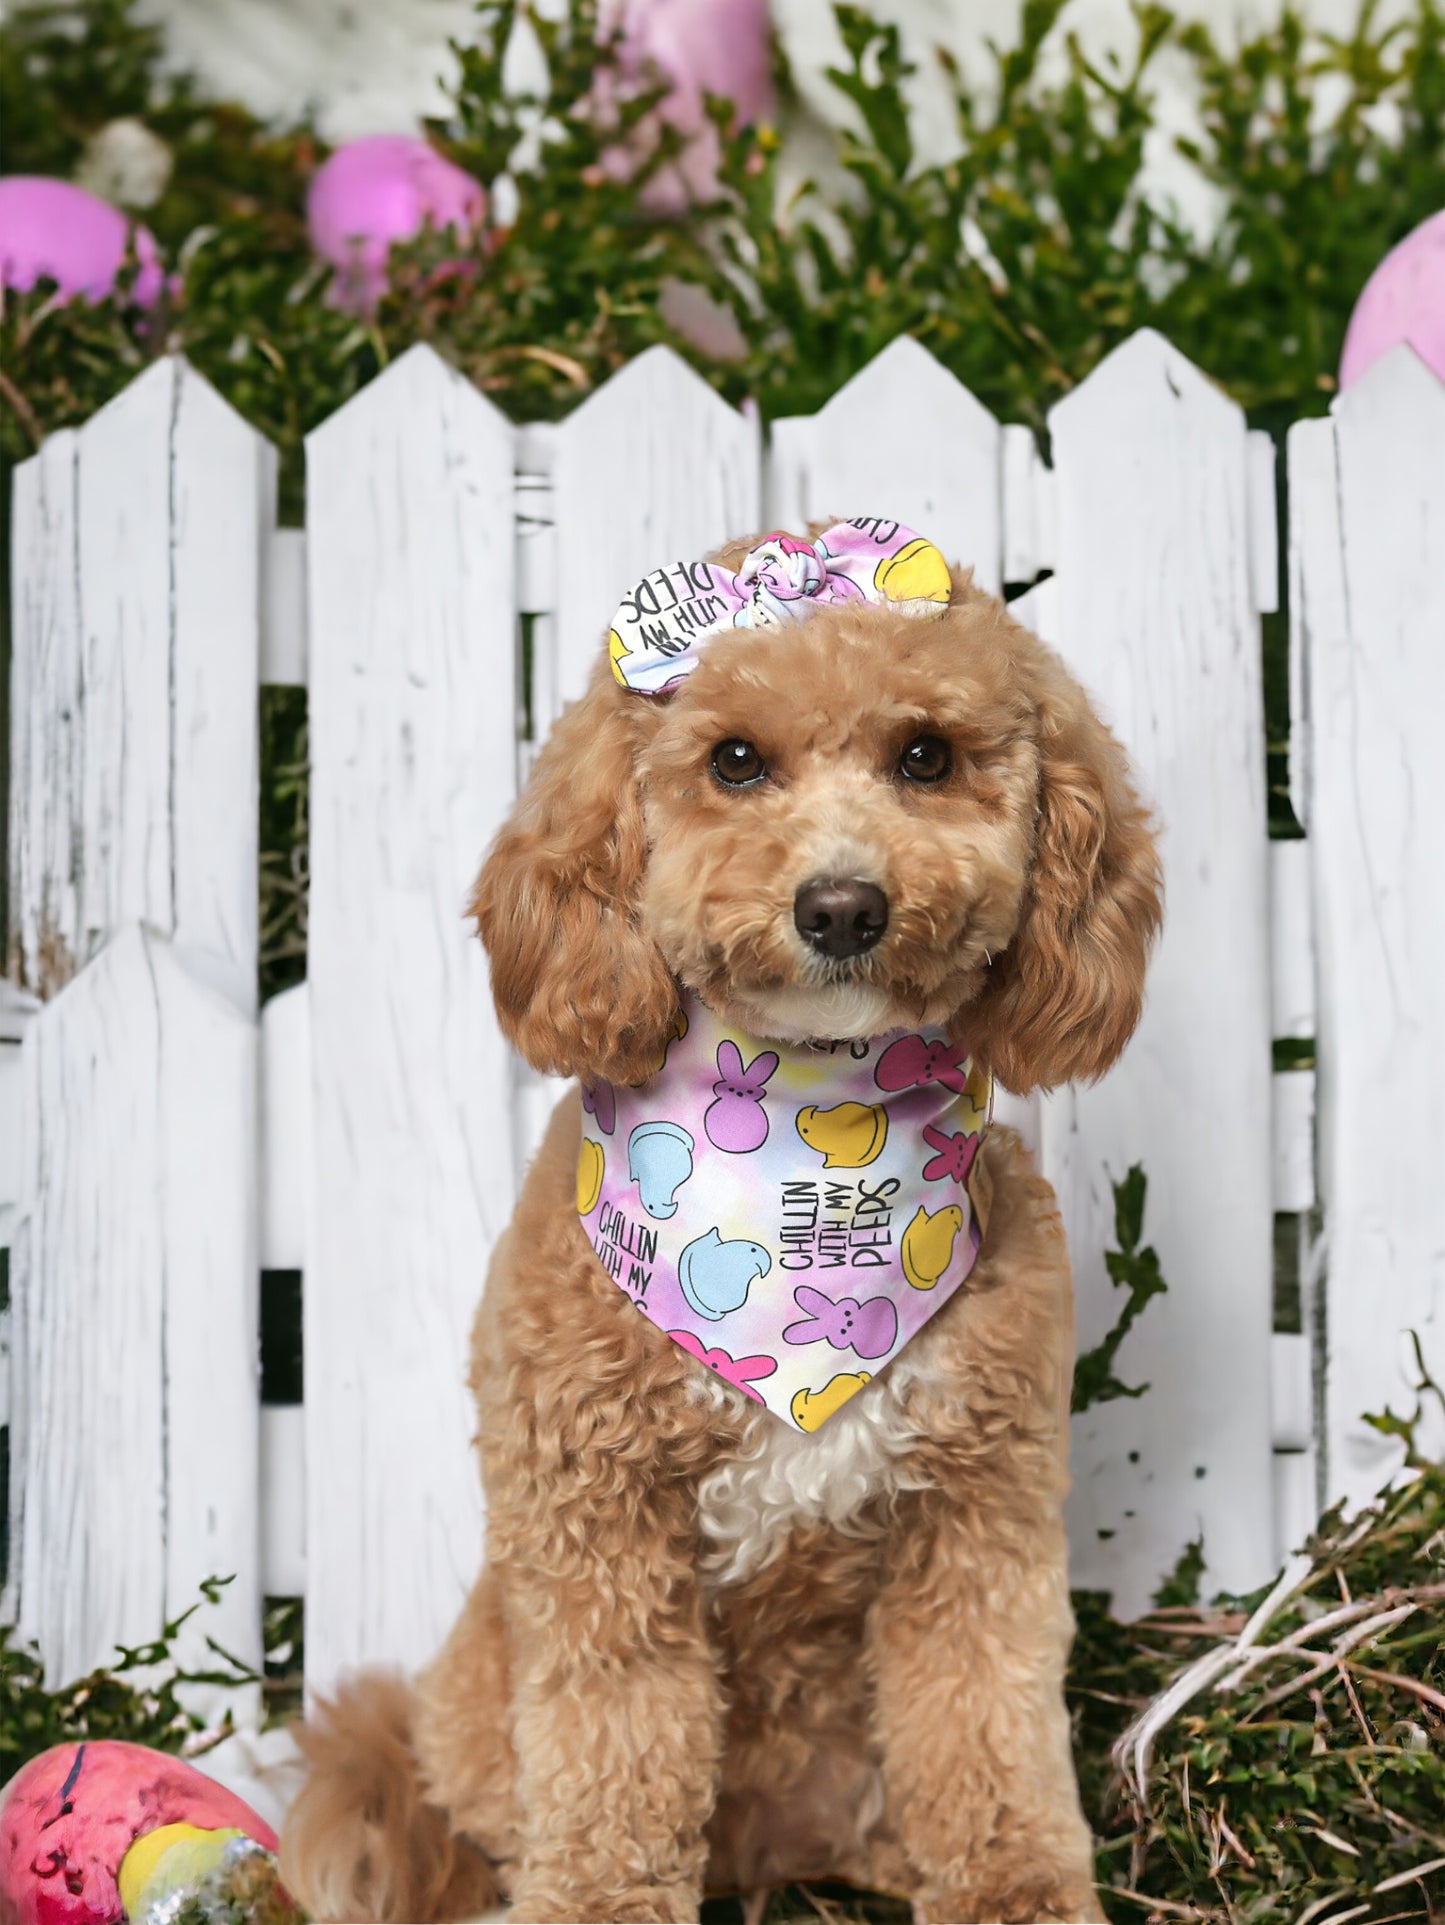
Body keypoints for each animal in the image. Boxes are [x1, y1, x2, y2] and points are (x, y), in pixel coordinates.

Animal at [282, 519, 1162, 1917]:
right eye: (734, 760)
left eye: (926, 755)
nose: (842, 905)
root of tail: (763, 1845)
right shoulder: (595, 1530)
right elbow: (613, 1766)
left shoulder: (977, 1514)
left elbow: (987, 1731)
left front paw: (1017, 1893)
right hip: (484, 1704)